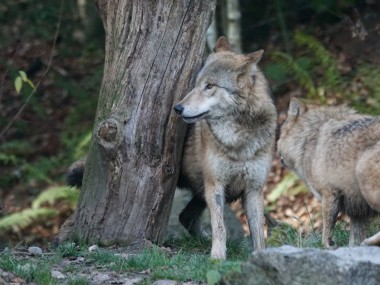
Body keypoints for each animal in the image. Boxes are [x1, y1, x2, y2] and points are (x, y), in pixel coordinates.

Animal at [173, 36, 276, 258]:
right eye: (196, 85)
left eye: (210, 86)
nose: (177, 108)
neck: (239, 141)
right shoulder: (215, 185)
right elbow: (220, 227)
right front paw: (217, 259)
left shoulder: (254, 189)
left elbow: (258, 231)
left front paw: (260, 256)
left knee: (185, 216)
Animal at [276, 97, 380, 246]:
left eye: (281, 132)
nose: (278, 154)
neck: (309, 138)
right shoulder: (358, 212)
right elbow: (353, 241)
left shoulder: (329, 194)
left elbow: (326, 232)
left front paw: (327, 246)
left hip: (364, 177)